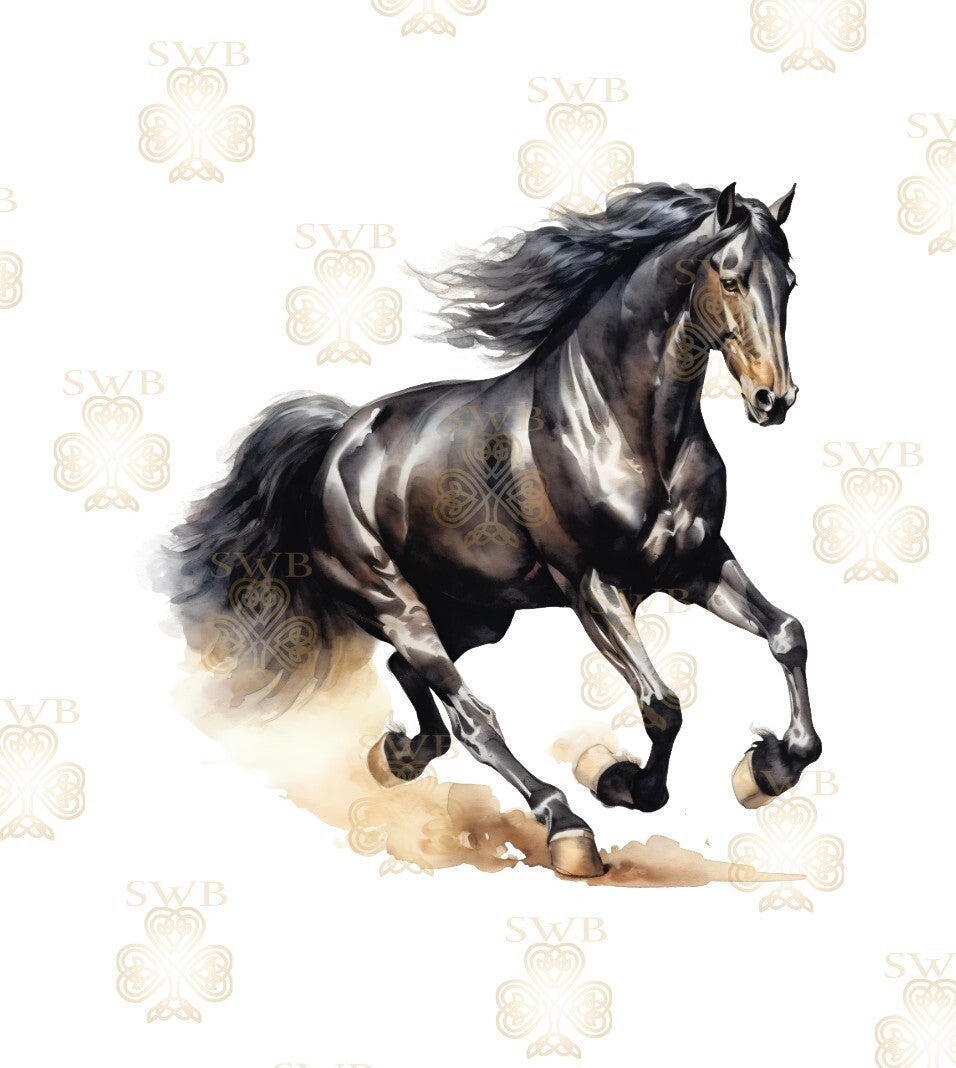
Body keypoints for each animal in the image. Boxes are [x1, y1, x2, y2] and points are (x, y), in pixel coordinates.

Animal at [163, 181, 821, 879]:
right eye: (731, 279)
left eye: (790, 282)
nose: (774, 400)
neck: (623, 425)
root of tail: (336, 441)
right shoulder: (593, 587)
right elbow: (662, 706)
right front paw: (620, 781)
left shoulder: (695, 567)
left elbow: (787, 634)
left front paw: (771, 769)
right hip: (394, 603)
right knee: (472, 717)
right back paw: (565, 826)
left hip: (481, 614)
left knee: (410, 673)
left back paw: (397, 755)